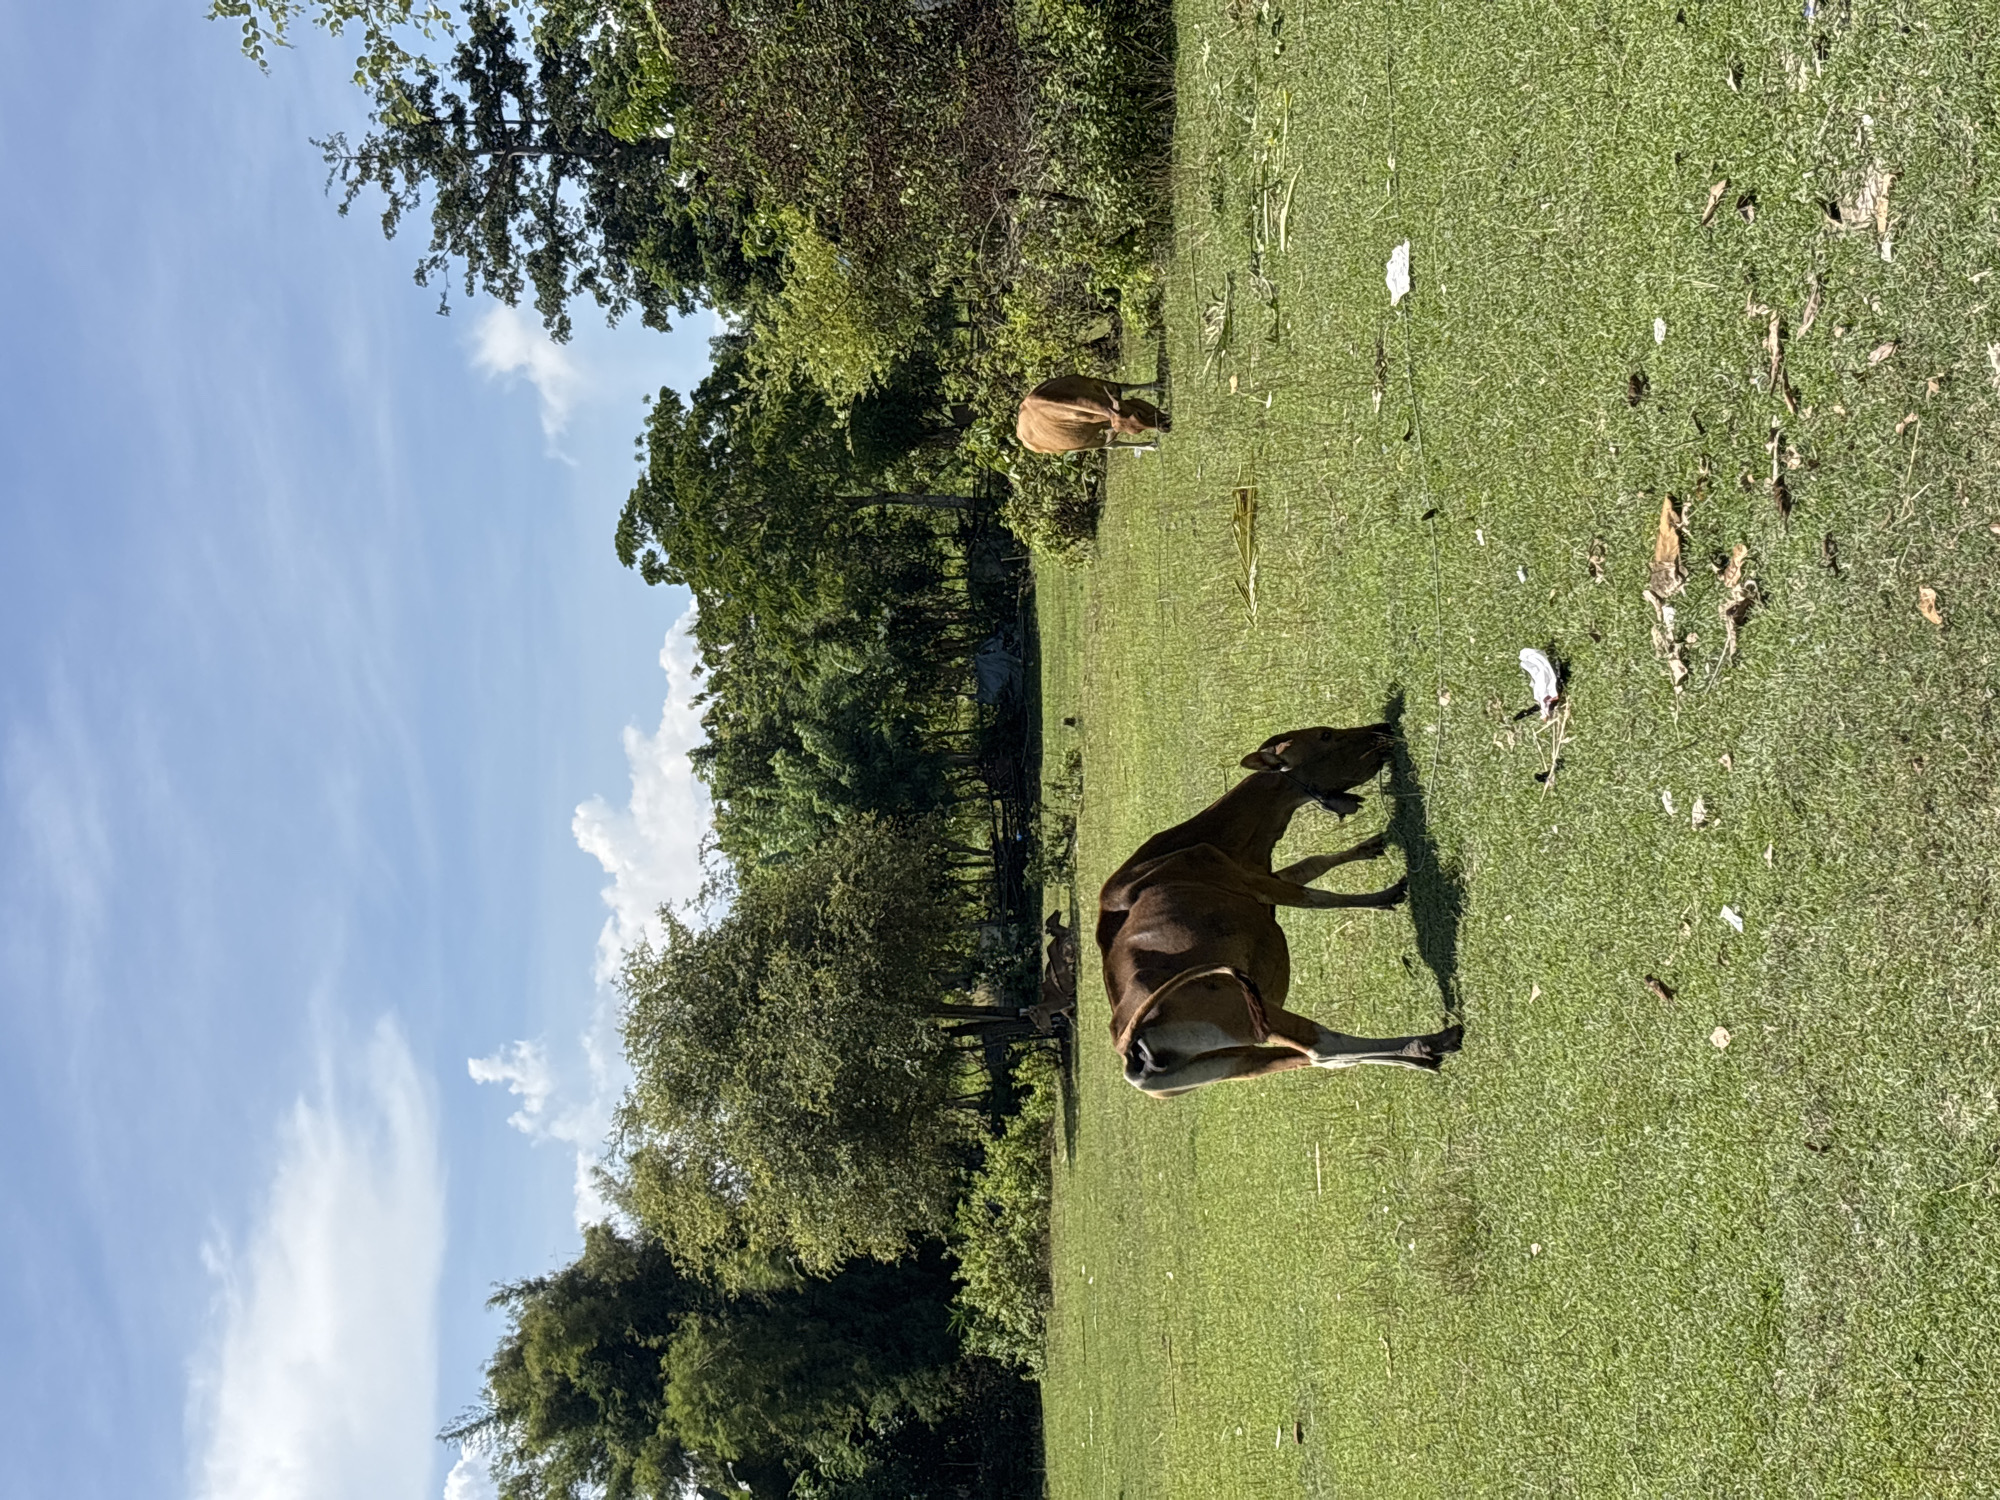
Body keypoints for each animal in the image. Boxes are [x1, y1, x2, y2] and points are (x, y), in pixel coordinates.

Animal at [1015, 375, 1168, 454]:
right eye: (1138, 413)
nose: (1164, 426)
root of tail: (1020, 433)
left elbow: (1124, 386)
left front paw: (1157, 385)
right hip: (1086, 445)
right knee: (1111, 444)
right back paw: (1150, 445)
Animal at [1097, 724, 1462, 1098]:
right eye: (1325, 735)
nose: (1382, 728)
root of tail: (1129, 1051)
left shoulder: (1264, 876)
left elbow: (1312, 864)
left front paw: (1372, 852)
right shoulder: (1254, 882)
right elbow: (1315, 896)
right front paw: (1388, 891)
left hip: (1236, 1061)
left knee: (1315, 1059)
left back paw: (1420, 1057)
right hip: (1249, 1012)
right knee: (1322, 1048)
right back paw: (1432, 1041)